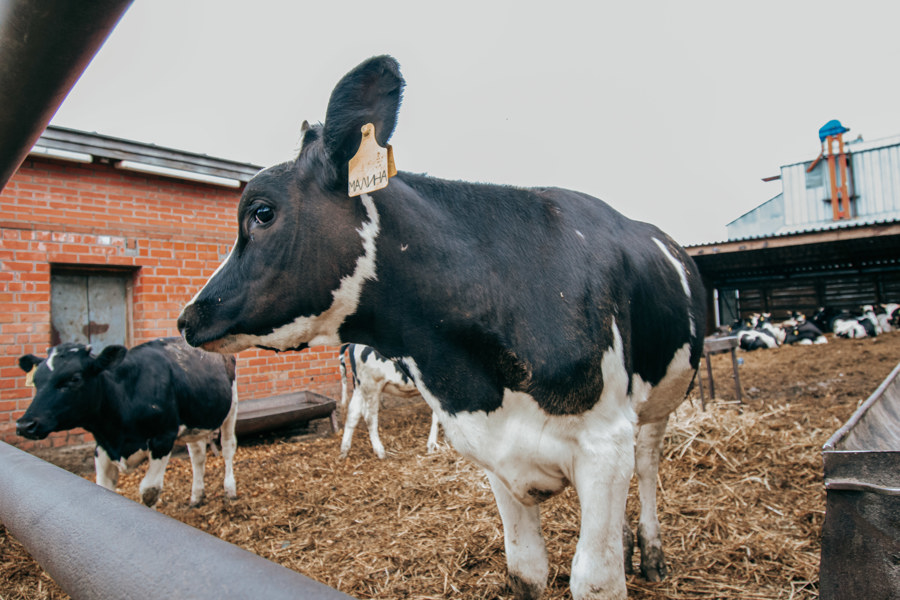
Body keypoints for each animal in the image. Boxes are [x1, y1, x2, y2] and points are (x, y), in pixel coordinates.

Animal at [17, 338, 237, 506]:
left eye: (75, 379)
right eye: (36, 381)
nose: (24, 425)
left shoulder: (163, 439)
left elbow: (149, 491)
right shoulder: (102, 446)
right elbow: (104, 486)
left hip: (231, 409)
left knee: (227, 448)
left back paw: (230, 490)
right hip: (195, 423)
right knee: (198, 457)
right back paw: (196, 497)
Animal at [176, 56, 708, 600]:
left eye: (261, 213)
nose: (188, 317)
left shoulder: (603, 444)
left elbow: (596, 578)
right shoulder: (499, 456)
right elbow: (526, 570)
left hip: (657, 406)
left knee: (646, 466)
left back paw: (650, 551)